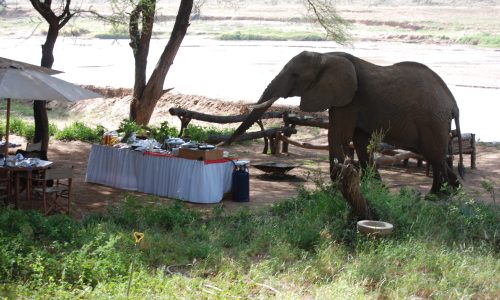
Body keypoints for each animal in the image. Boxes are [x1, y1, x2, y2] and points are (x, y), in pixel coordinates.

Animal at [223, 51, 464, 195]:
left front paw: (336, 183)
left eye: (295, 75)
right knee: (435, 155)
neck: (325, 57)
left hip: (432, 120)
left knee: (434, 155)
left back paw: (435, 196)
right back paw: (455, 189)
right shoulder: (344, 99)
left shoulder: (350, 99)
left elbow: (340, 135)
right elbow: (357, 140)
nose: (224, 146)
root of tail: (453, 102)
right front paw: (374, 187)